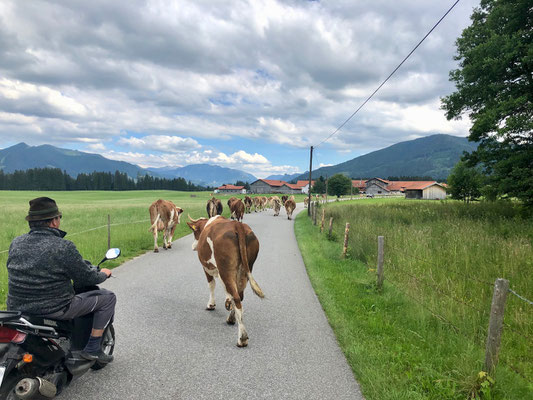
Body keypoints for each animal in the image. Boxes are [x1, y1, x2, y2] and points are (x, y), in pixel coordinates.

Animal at [186, 216, 262, 346]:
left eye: (194, 232)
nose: (193, 246)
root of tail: (238, 225)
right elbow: (227, 291)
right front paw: (227, 303)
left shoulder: (207, 268)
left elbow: (212, 285)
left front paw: (211, 304)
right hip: (245, 268)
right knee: (239, 295)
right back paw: (231, 318)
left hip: (225, 268)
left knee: (236, 297)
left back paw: (242, 338)